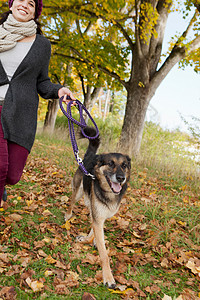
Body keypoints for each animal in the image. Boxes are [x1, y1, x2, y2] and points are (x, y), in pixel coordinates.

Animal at [64, 126, 131, 288]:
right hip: (78, 190)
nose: (121, 178)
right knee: (72, 201)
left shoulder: (101, 215)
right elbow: (104, 254)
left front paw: (89, 239)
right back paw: (68, 215)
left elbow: (95, 232)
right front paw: (108, 277)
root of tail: (91, 156)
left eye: (124, 165)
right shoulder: (98, 216)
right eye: (111, 163)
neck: (108, 193)